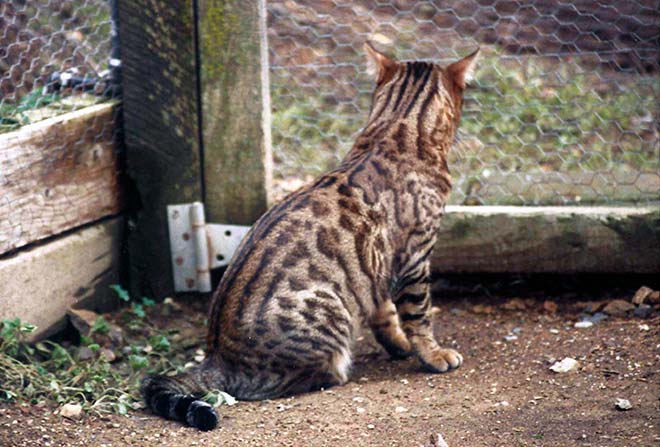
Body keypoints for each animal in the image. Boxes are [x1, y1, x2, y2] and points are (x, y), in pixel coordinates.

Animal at [142, 42, 476, 430]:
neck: (394, 131)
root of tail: (216, 356)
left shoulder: (376, 266)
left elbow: (384, 313)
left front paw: (399, 344)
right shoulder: (415, 257)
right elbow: (418, 314)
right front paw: (433, 354)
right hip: (327, 310)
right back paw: (336, 370)